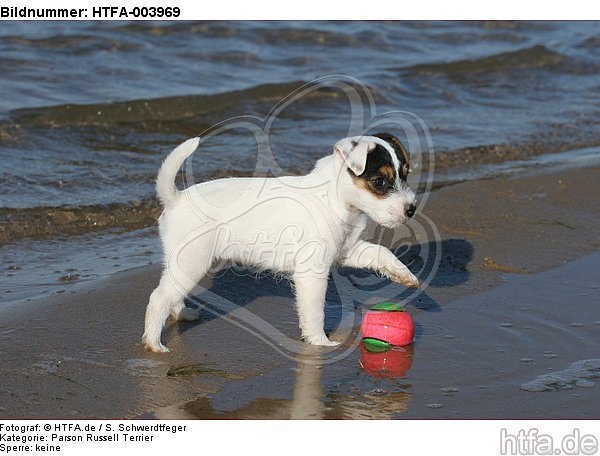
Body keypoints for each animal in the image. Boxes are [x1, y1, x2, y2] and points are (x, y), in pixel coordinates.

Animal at [143, 132, 420, 352]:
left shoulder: (348, 250)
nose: (411, 210)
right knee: (159, 297)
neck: (336, 198)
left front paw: (405, 275)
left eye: (405, 175)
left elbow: (381, 253)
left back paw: (184, 314)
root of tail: (176, 198)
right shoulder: (312, 272)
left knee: (171, 293)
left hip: (182, 262)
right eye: (379, 181)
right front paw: (320, 342)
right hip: (192, 263)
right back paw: (155, 343)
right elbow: (314, 311)